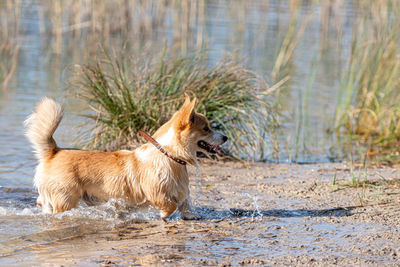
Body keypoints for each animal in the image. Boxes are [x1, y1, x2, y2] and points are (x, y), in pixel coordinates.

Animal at [25, 94, 228, 222]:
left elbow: (186, 202)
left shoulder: (181, 189)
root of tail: (54, 151)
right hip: (66, 199)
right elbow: (169, 205)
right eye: (206, 129)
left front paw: (191, 215)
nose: (225, 137)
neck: (168, 154)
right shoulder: (157, 192)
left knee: (41, 201)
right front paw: (162, 215)